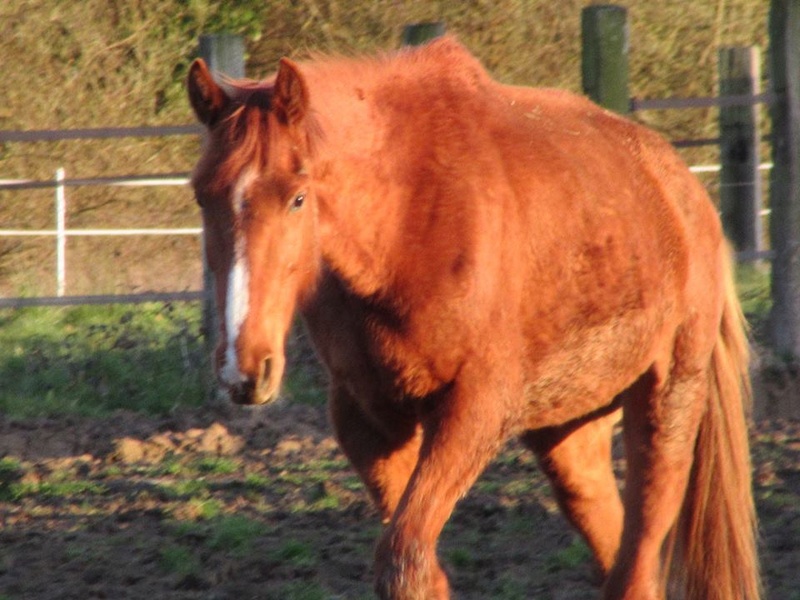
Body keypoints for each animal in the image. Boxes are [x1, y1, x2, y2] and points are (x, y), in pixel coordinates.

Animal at [188, 38, 764, 600]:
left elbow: (405, 559)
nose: (243, 367)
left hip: (668, 403)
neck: (408, 220)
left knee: (638, 562)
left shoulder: (476, 409)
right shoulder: (371, 421)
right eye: (201, 196)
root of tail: (685, 193)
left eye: (298, 197)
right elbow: (416, 565)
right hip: (570, 432)